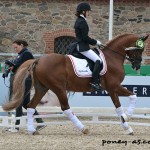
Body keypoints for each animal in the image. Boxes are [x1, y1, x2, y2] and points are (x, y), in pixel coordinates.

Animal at [2, 33, 149, 135]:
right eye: (139, 49)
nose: (137, 66)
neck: (112, 58)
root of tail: (38, 60)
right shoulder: (114, 86)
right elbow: (133, 97)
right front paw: (127, 117)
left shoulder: (111, 89)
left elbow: (119, 107)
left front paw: (127, 126)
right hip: (59, 88)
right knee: (65, 108)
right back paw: (83, 128)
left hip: (42, 88)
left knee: (31, 106)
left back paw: (32, 130)